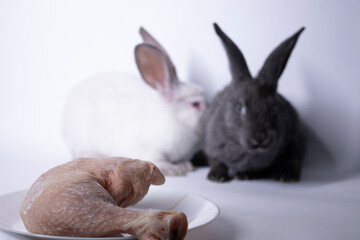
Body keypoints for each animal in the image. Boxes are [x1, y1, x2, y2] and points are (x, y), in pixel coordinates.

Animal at [62, 27, 205, 175]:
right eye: (195, 104)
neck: (172, 117)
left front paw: (185, 166)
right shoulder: (150, 149)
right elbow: (158, 161)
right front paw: (174, 169)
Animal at [204, 23, 306, 182]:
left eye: (274, 109)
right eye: (240, 108)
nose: (260, 138)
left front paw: (247, 175)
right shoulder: (211, 147)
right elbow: (216, 161)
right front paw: (217, 176)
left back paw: (284, 176)